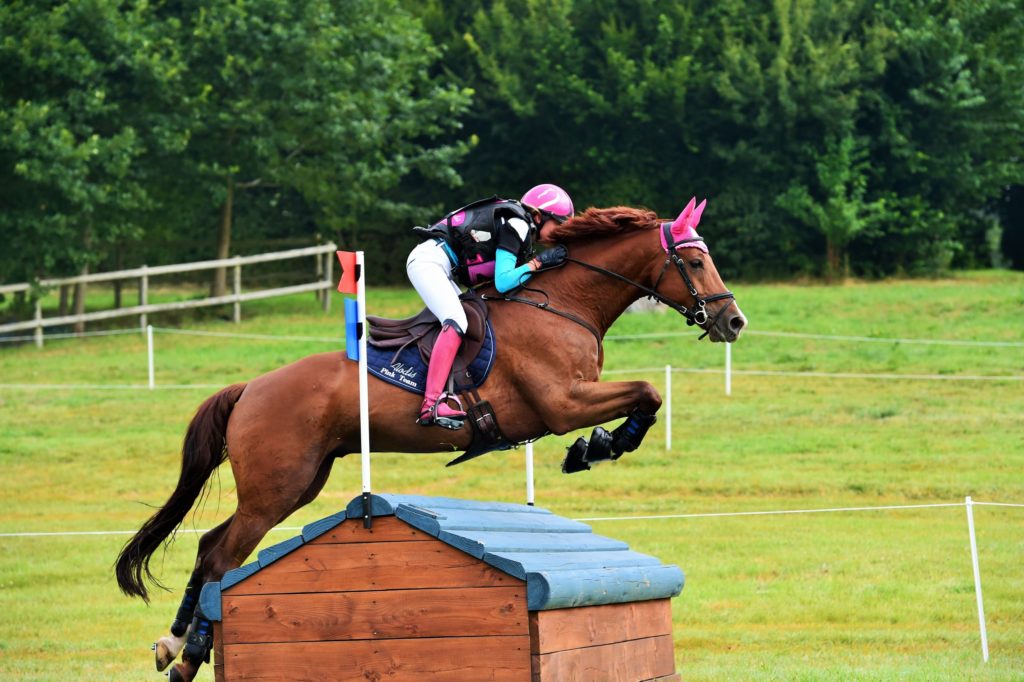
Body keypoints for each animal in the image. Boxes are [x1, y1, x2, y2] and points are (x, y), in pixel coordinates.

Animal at [116, 197, 749, 679]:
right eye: (696, 261)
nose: (734, 321)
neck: (563, 303)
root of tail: (250, 387)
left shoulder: (571, 400)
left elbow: (646, 396)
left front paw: (594, 447)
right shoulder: (562, 402)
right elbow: (647, 391)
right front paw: (599, 447)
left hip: (295, 485)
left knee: (210, 548)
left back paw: (175, 644)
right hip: (276, 488)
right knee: (222, 555)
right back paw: (190, 655)